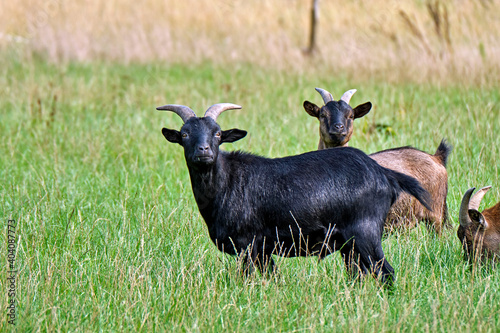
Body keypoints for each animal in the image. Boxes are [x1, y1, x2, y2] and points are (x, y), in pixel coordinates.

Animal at [158, 102, 432, 282]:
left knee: (386, 272)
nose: (203, 150)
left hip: (365, 232)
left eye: (217, 133)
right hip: (349, 245)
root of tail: (383, 173)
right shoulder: (263, 250)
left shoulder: (248, 244)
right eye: (184, 134)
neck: (227, 183)